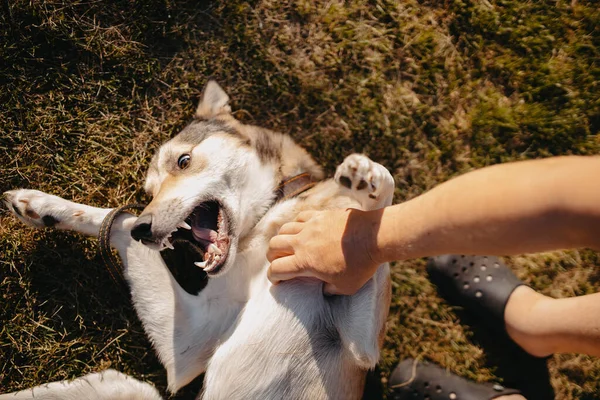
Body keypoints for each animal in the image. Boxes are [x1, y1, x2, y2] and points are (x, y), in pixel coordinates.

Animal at [1, 81, 394, 400]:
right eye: (149, 192)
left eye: (184, 160)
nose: (144, 229)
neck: (270, 218)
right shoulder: (192, 343)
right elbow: (118, 219)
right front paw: (42, 206)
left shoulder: (361, 346)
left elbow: (371, 228)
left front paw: (369, 183)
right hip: (129, 385)